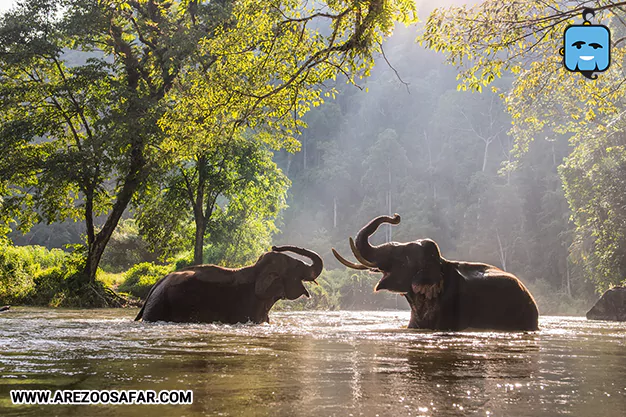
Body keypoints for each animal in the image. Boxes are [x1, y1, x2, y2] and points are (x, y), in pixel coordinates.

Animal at [135, 244, 322, 324]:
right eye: (296, 266)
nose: (275, 246)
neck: (256, 269)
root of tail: (155, 286)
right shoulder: (247, 306)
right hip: (159, 306)